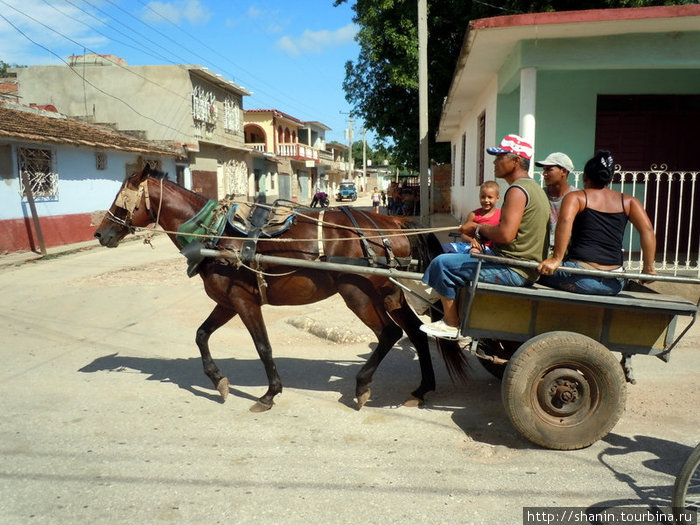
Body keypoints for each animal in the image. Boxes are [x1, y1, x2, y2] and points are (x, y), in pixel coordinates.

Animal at [93, 166, 464, 412]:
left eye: (121, 199)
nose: (100, 233)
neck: (215, 233)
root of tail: (393, 222)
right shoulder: (227, 301)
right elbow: (201, 335)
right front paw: (218, 381)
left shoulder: (243, 300)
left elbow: (263, 346)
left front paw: (269, 394)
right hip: (390, 291)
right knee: (415, 332)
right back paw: (421, 389)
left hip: (356, 293)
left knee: (389, 333)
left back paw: (362, 386)